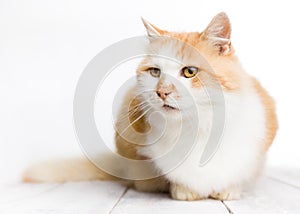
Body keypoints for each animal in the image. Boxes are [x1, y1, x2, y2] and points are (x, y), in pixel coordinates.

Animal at [22, 12, 278, 201]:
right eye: (155, 72)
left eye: (190, 72)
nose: (162, 91)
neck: (196, 127)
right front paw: (184, 191)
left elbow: (237, 174)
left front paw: (228, 190)